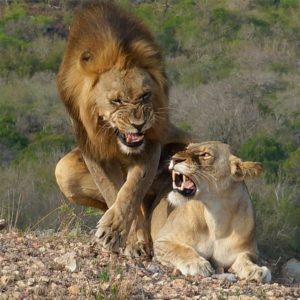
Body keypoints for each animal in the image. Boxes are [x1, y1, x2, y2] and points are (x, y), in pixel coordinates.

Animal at [53, 2, 185, 253]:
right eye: (116, 101)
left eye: (145, 95)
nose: (138, 124)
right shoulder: (92, 149)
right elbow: (112, 191)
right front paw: (122, 236)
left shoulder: (151, 142)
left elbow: (132, 189)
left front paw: (116, 230)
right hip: (63, 171)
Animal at [151, 142, 270, 282]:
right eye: (187, 148)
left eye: (206, 154)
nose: (174, 159)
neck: (216, 217)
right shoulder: (162, 240)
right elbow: (181, 249)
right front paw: (197, 264)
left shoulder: (249, 251)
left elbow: (245, 258)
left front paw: (256, 270)